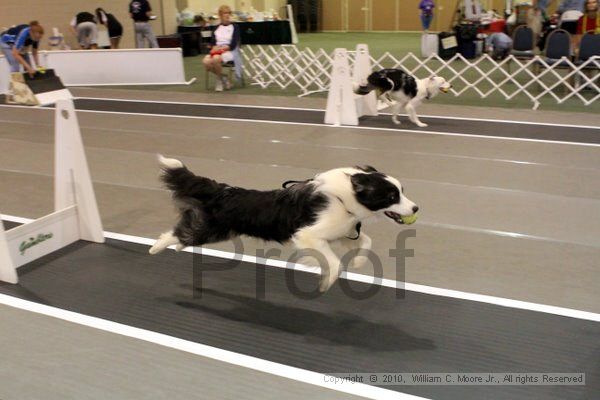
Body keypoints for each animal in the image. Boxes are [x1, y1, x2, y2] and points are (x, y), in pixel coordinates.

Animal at [149, 155, 420, 290]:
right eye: (391, 196)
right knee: (179, 232)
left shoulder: (344, 229)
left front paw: (359, 261)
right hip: (211, 228)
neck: (346, 195)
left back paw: (175, 248)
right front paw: (326, 282)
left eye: (402, 191)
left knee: (184, 234)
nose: (416, 208)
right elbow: (333, 262)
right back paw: (156, 248)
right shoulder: (309, 235)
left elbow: (366, 241)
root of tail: (222, 190)